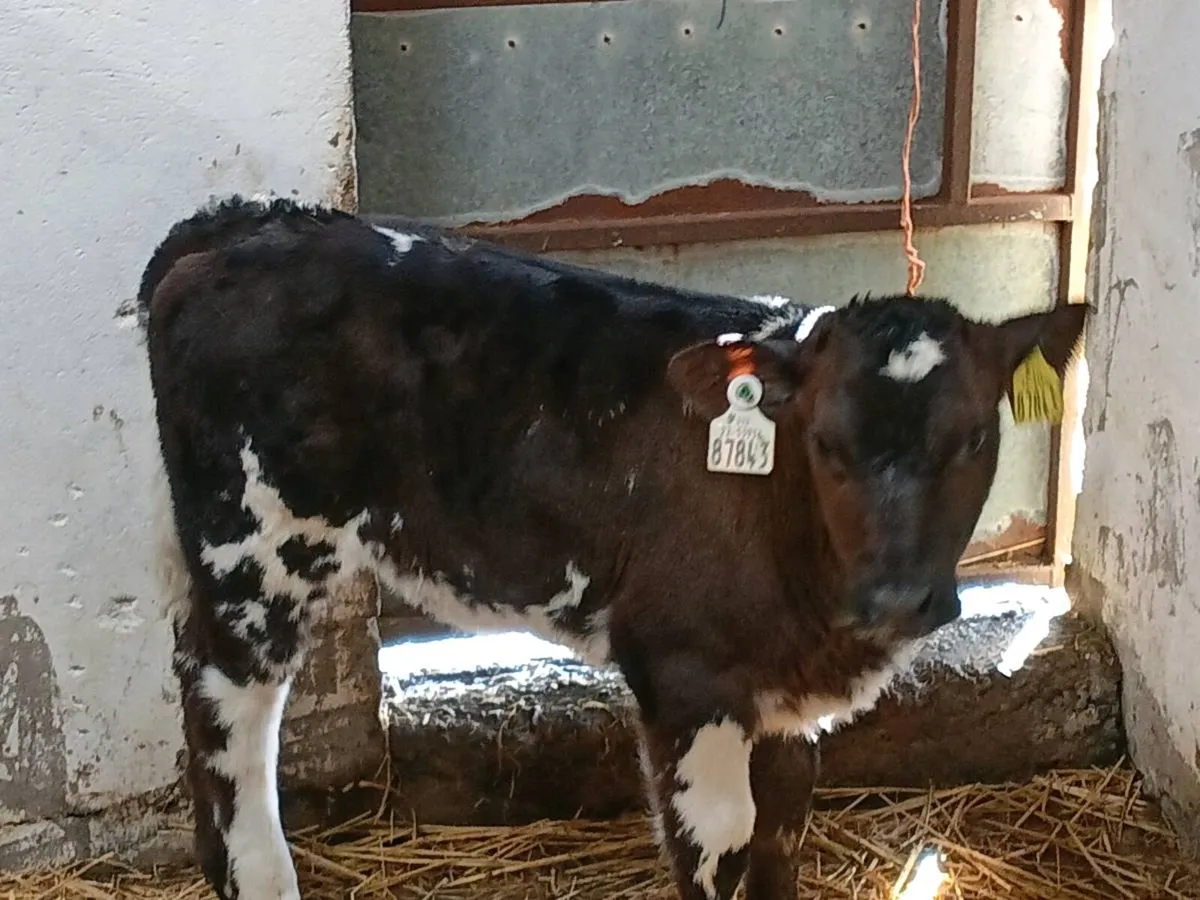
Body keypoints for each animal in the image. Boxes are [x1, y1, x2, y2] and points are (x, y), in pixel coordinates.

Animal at [139, 195, 1087, 900]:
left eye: (973, 438)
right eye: (825, 441)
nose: (893, 598)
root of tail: (247, 223)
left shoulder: (778, 694)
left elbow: (781, 833)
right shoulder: (684, 671)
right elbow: (722, 843)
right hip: (254, 544)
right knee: (228, 704)